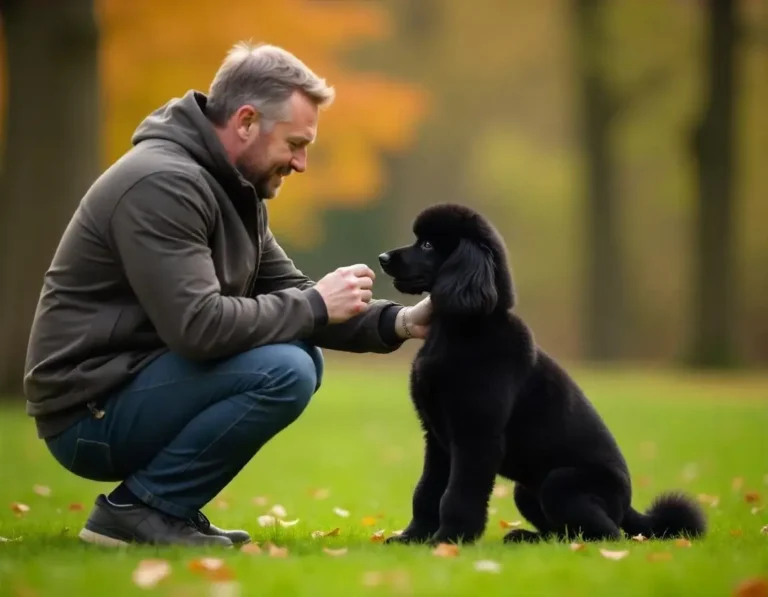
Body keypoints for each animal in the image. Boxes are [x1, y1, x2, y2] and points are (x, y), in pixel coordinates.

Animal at [378, 204, 708, 544]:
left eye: (428, 245)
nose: (382, 258)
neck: (462, 328)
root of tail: (627, 507)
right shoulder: (437, 438)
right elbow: (427, 491)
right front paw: (412, 537)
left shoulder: (476, 437)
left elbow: (457, 495)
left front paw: (449, 539)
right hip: (525, 490)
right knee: (559, 531)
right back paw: (524, 537)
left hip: (559, 484)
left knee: (607, 534)